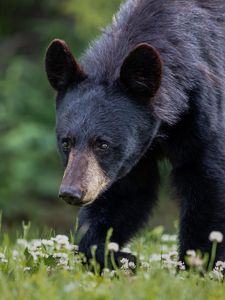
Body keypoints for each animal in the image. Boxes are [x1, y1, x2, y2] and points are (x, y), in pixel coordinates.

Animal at [45, 0, 225, 268]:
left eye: (103, 144)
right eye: (66, 142)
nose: (72, 192)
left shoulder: (205, 111)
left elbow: (206, 181)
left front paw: (198, 263)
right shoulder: (131, 155)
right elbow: (124, 193)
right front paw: (118, 257)